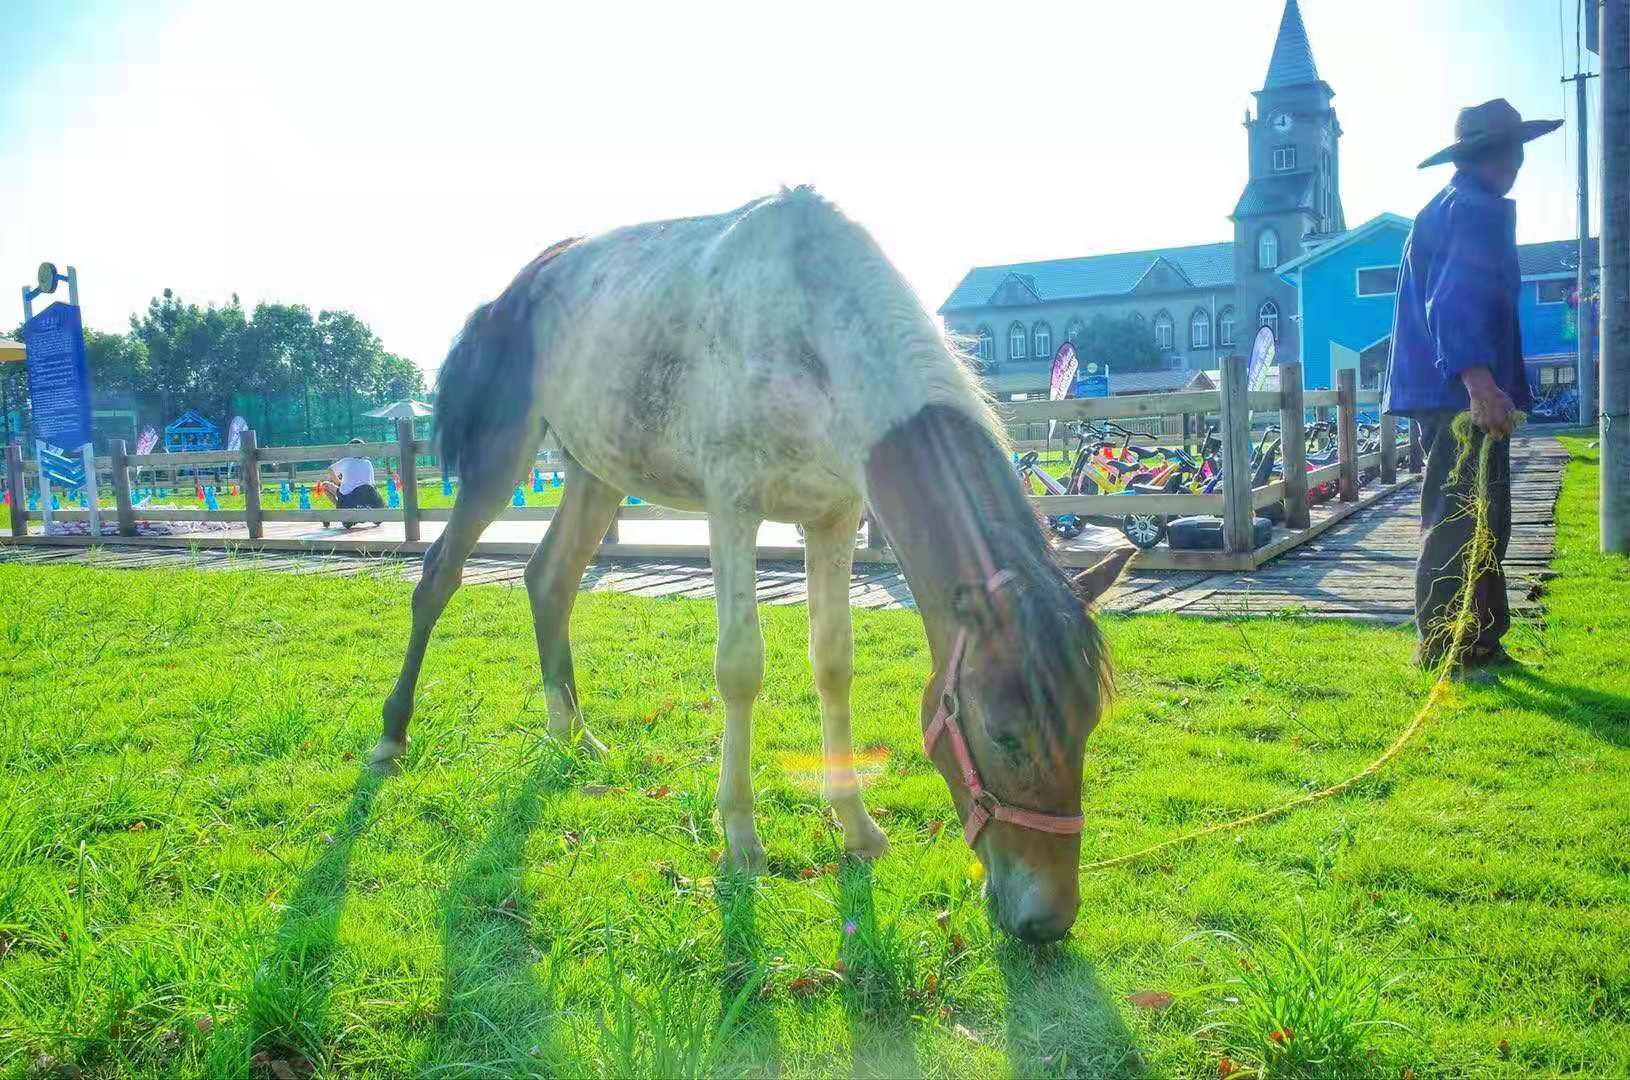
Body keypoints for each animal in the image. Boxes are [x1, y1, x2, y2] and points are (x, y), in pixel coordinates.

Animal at [374, 189, 1127, 944]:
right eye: (1004, 734)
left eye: (1089, 722)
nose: (1047, 920)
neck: (810, 328)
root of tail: (510, 295)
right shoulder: (732, 504)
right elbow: (739, 668)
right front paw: (740, 837)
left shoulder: (833, 516)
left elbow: (833, 661)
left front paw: (856, 825)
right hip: (501, 451)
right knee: (438, 575)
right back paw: (391, 734)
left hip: (595, 471)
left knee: (549, 580)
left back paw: (573, 733)